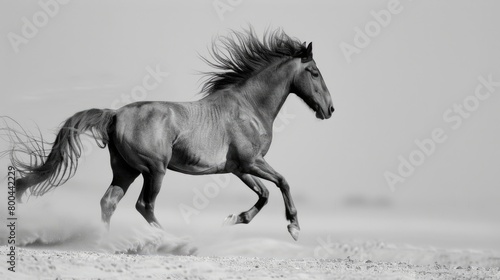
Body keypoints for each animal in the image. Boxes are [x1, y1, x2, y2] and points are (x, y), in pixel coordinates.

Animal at [6, 29, 332, 243]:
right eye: (314, 72)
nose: (329, 109)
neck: (248, 106)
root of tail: (115, 114)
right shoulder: (252, 162)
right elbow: (282, 182)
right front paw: (294, 228)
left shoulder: (239, 168)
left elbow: (264, 194)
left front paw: (233, 219)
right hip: (155, 169)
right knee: (143, 205)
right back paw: (173, 241)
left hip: (126, 170)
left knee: (109, 202)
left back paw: (104, 241)